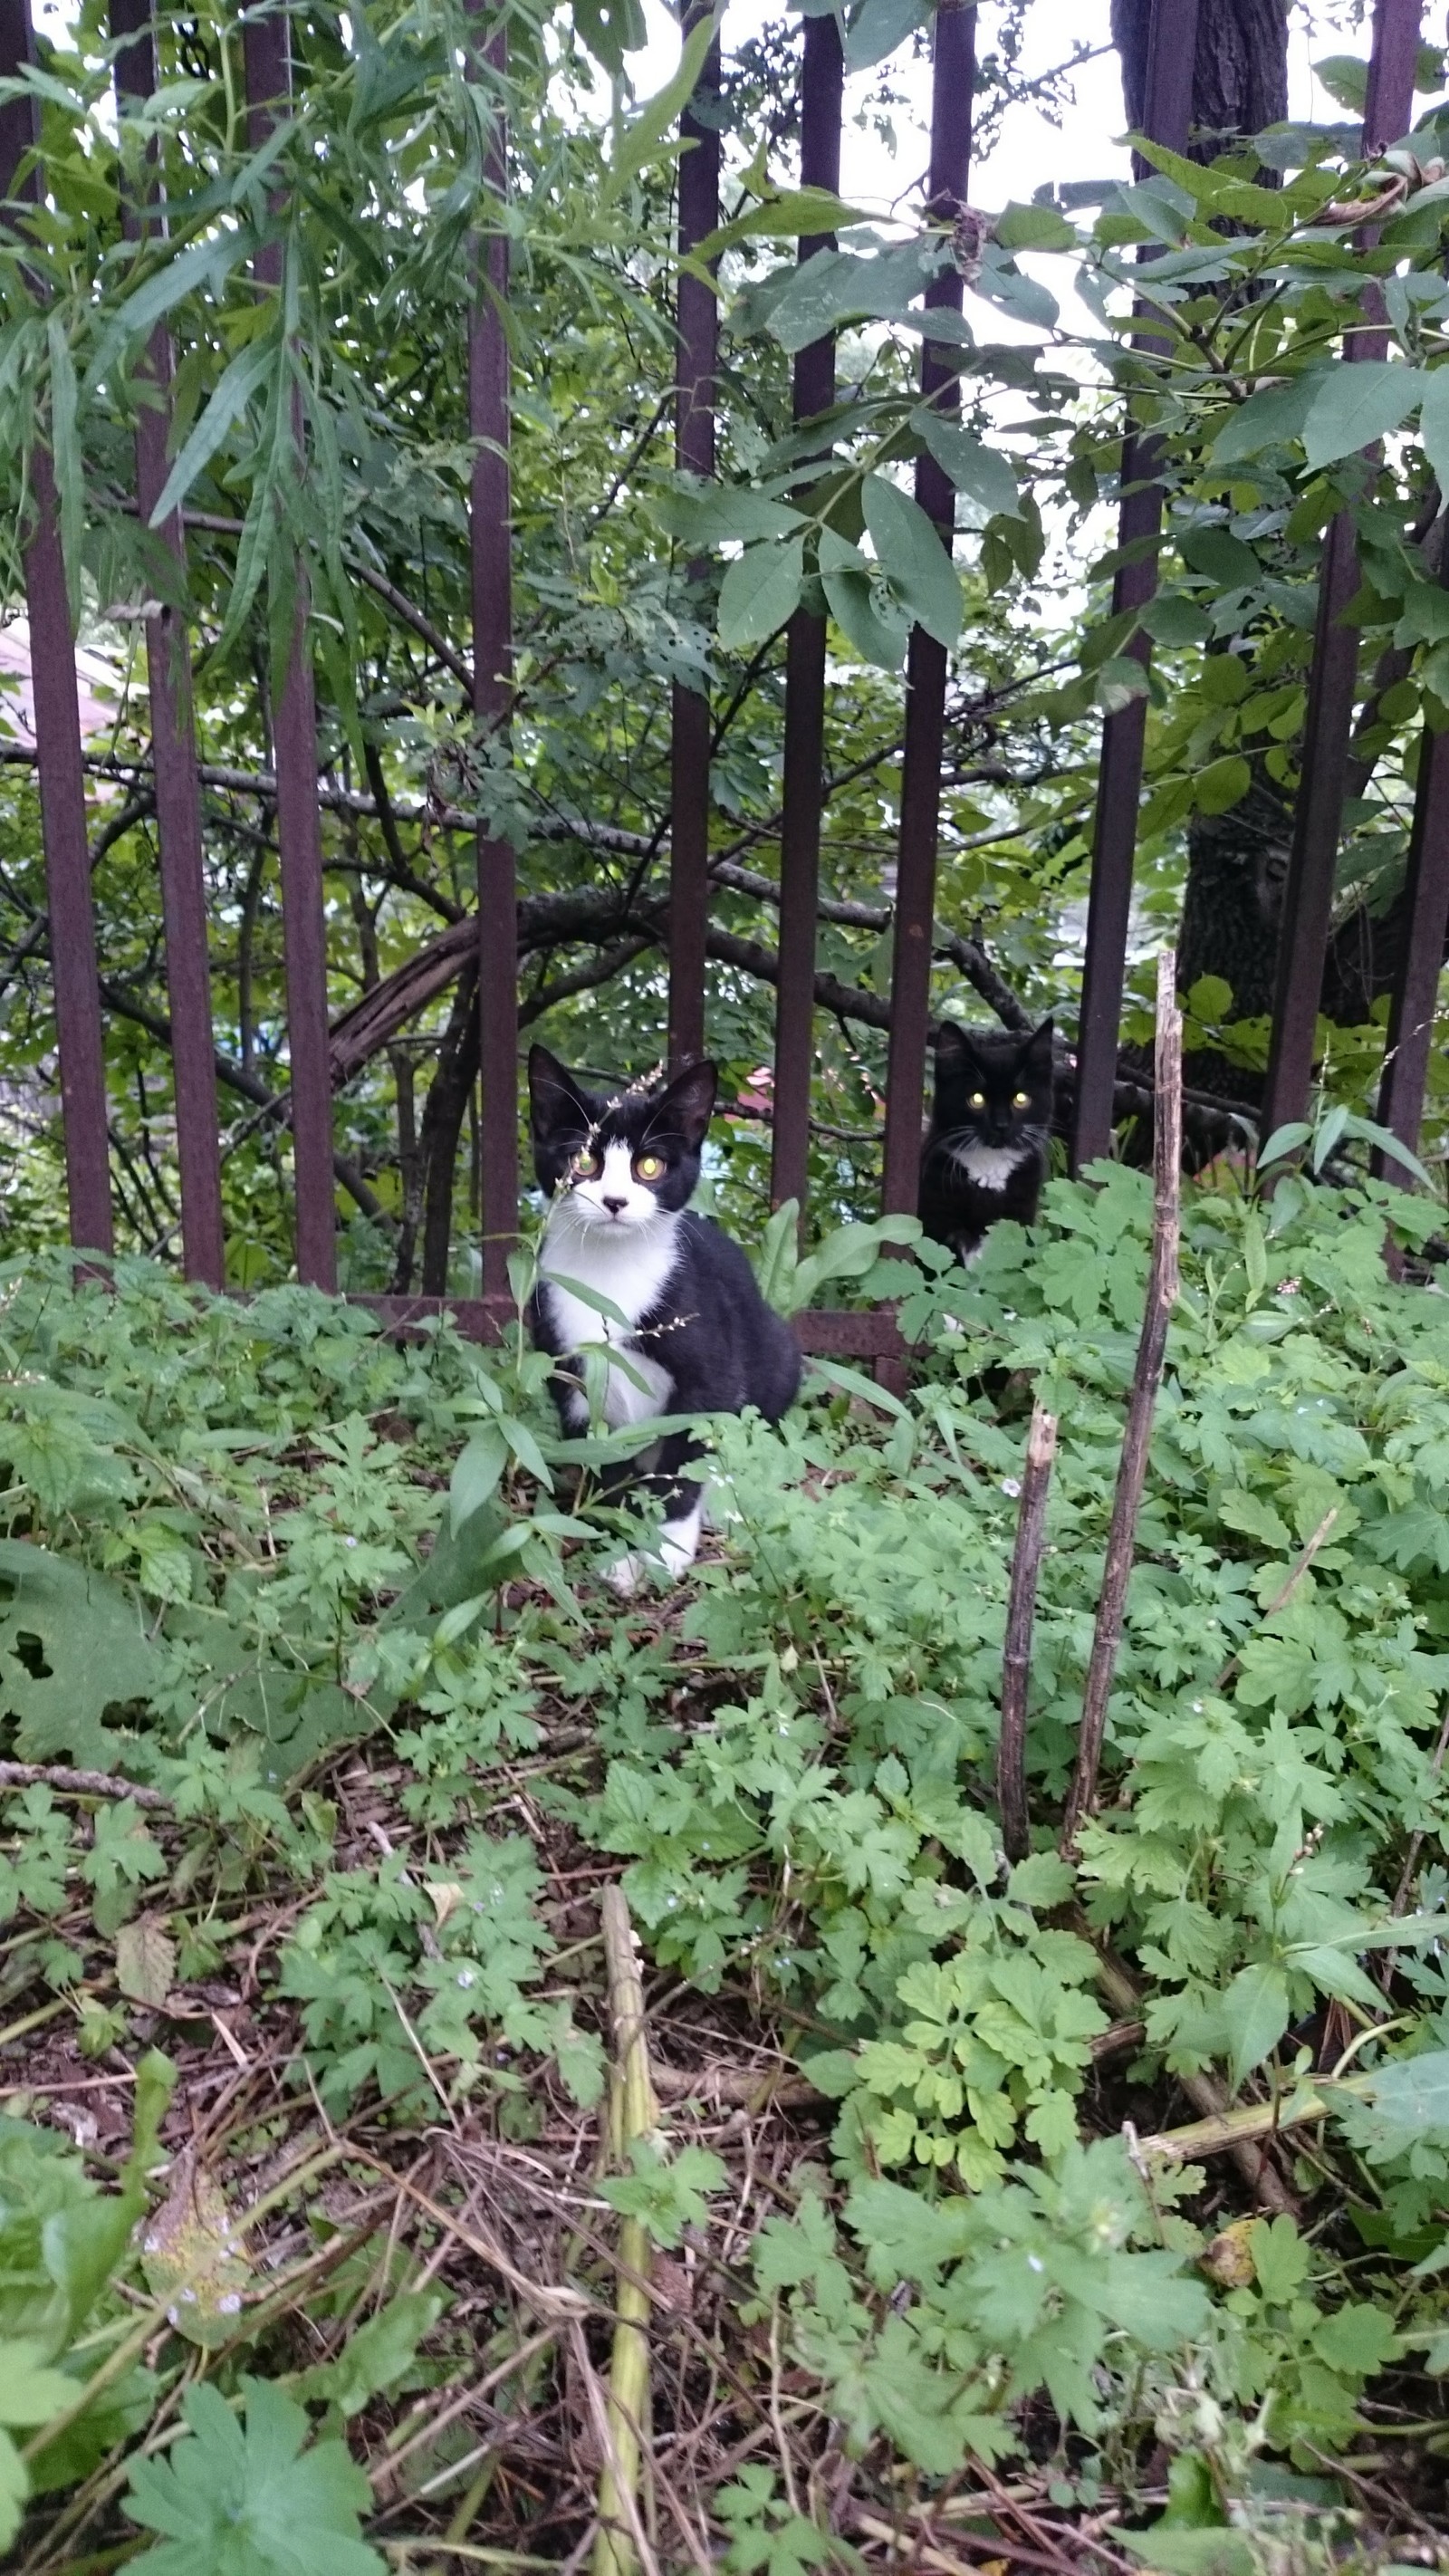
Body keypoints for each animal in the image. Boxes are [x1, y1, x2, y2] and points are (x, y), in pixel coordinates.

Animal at [524, 1045, 797, 1586]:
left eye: (649, 1165)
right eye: (583, 1160)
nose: (614, 1201)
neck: (611, 1272)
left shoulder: (710, 1372)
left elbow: (685, 1460)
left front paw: (666, 1547)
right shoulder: (571, 1373)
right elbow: (606, 1463)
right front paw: (620, 1542)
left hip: (776, 1354)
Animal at [916, 1020, 1055, 1272]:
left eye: (1021, 1099)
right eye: (977, 1099)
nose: (1001, 1125)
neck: (990, 1166)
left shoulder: (1021, 1216)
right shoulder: (935, 1212)